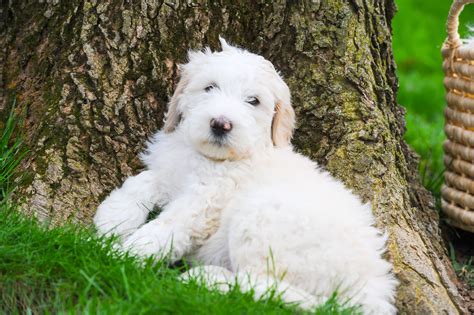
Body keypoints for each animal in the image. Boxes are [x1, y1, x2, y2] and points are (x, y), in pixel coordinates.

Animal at [92, 38, 396, 314]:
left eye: (253, 101)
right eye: (210, 87)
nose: (220, 124)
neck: (215, 158)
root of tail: (371, 286)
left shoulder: (202, 201)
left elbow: (166, 226)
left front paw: (120, 255)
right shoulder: (171, 168)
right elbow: (142, 183)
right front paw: (111, 221)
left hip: (261, 219)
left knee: (264, 289)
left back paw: (206, 279)